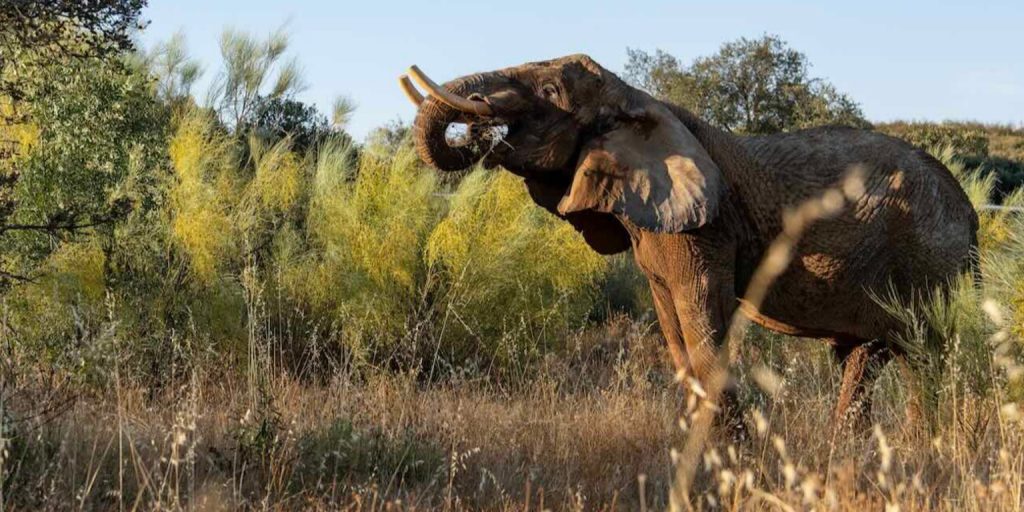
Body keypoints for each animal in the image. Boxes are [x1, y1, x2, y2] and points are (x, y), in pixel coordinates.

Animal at [398, 54, 979, 427]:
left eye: (549, 93)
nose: (479, 125)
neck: (639, 101)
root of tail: (970, 214)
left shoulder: (705, 229)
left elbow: (702, 324)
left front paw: (732, 461)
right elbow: (675, 333)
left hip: (930, 261)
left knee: (925, 358)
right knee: (863, 360)